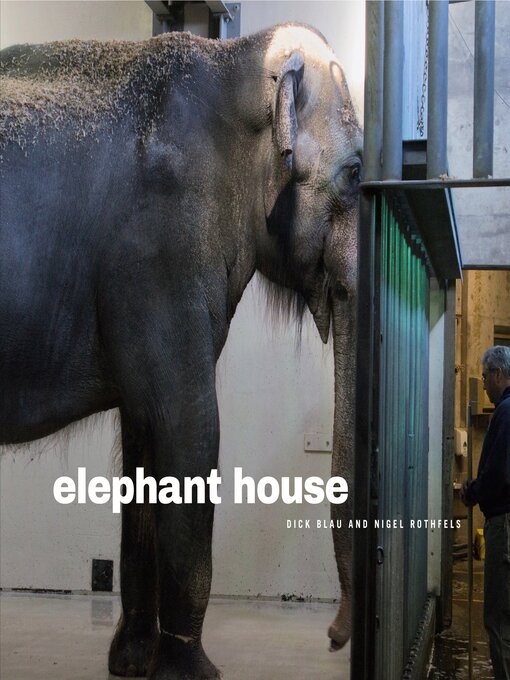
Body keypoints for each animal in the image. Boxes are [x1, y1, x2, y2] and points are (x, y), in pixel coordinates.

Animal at [0, 23, 361, 679]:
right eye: (354, 174)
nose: (332, 637)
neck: (234, 59)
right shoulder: (160, 250)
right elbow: (190, 426)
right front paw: (193, 671)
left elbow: (146, 431)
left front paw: (132, 662)